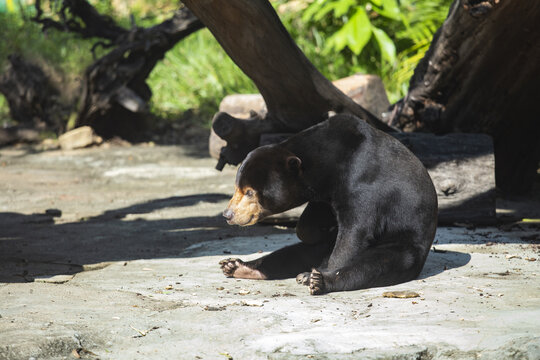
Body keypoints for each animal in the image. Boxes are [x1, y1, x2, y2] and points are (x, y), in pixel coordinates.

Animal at [217, 114, 436, 294]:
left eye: (250, 192)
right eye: (237, 187)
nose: (228, 214)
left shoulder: (363, 180)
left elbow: (355, 231)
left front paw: (321, 272)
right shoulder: (323, 195)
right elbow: (307, 225)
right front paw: (321, 229)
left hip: (405, 244)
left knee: (374, 266)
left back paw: (316, 279)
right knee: (291, 254)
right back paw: (238, 267)